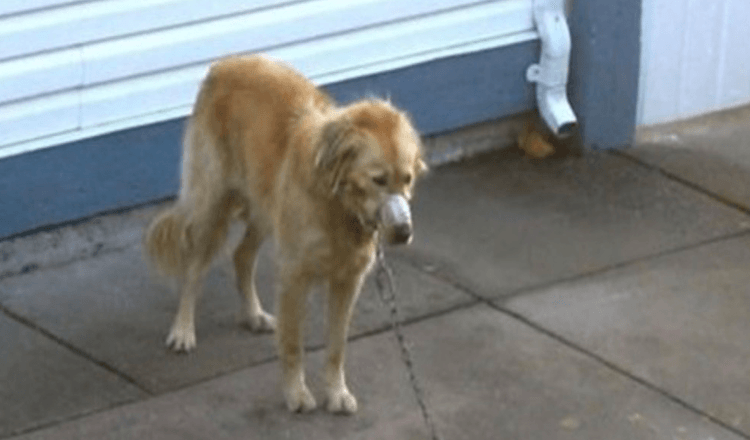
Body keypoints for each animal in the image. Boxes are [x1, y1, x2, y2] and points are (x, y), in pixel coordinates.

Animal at [144, 54, 426, 412]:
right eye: (378, 179)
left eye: (407, 179)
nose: (404, 232)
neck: (336, 203)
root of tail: (224, 64)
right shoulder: (295, 275)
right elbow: (293, 344)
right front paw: (296, 393)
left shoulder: (348, 281)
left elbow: (337, 346)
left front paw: (336, 392)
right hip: (213, 202)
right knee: (194, 267)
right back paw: (183, 329)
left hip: (265, 208)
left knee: (241, 255)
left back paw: (253, 314)